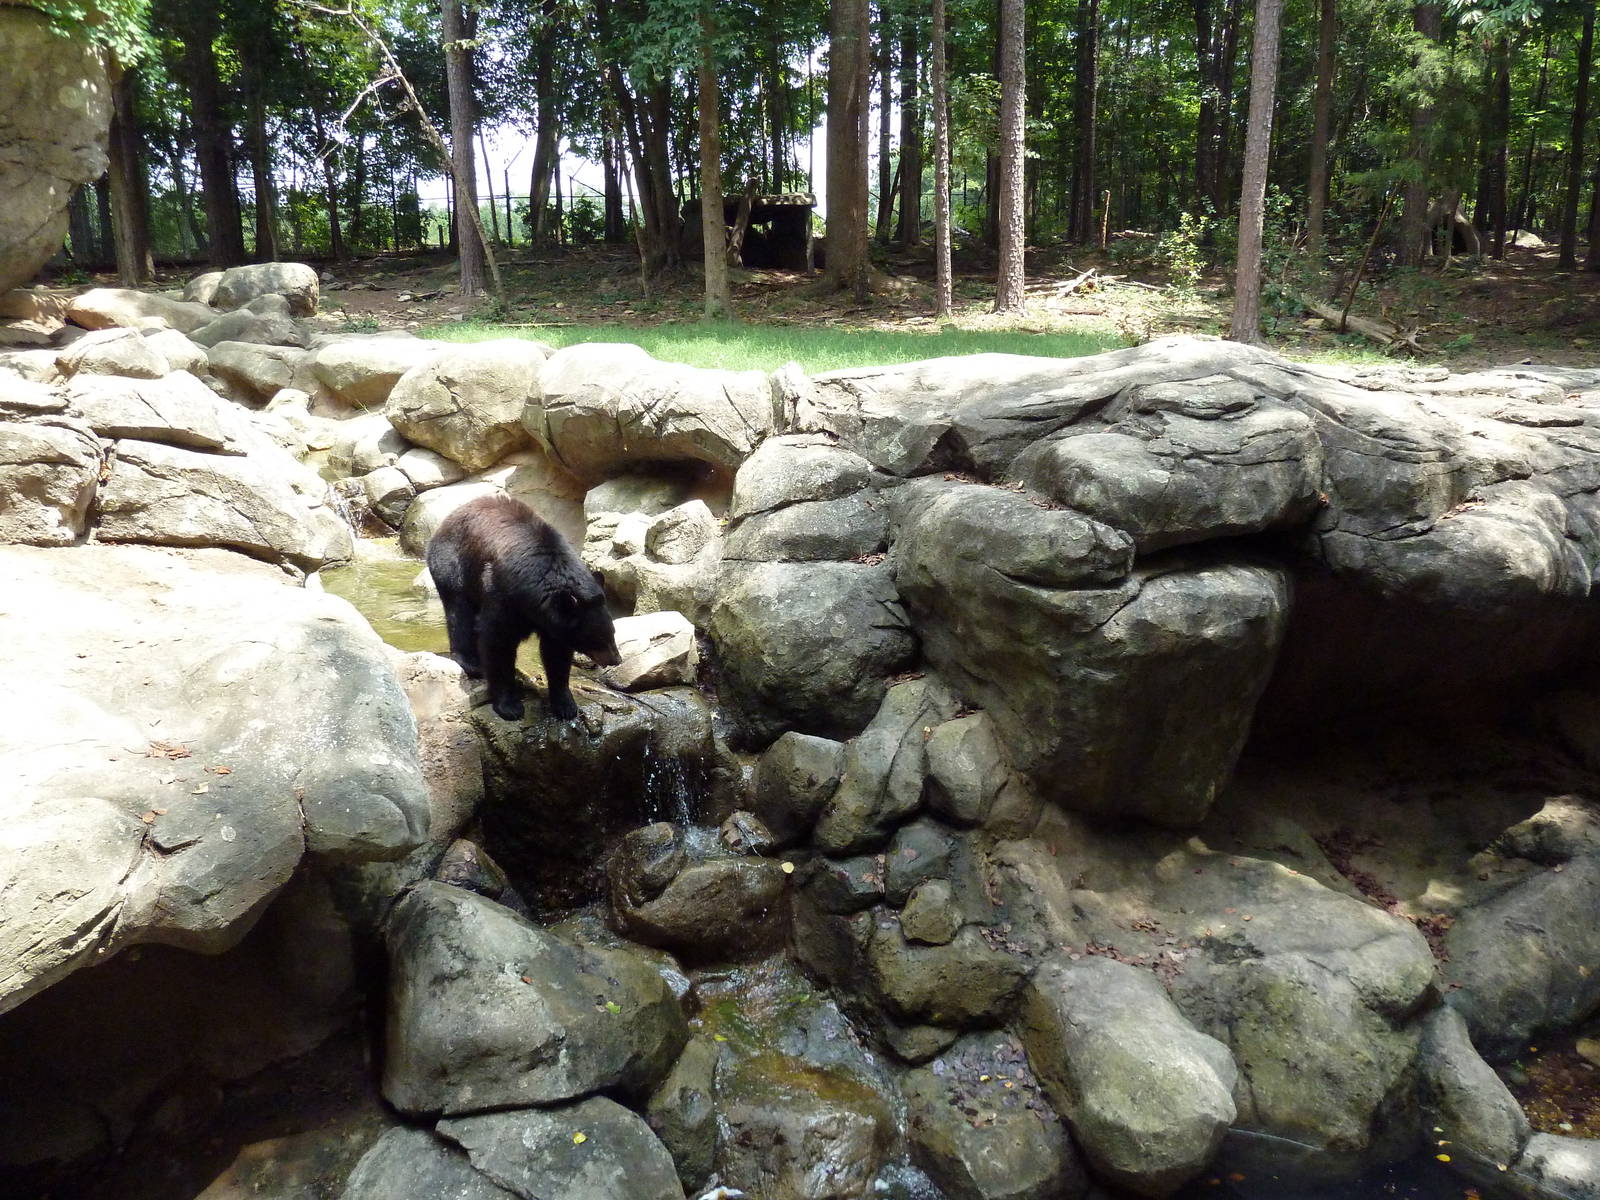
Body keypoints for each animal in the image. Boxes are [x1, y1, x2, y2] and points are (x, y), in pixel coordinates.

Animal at [426, 494, 620, 721]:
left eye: (612, 632)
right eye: (597, 637)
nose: (616, 659)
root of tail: (448, 518)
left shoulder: (553, 619)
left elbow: (557, 653)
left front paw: (565, 705)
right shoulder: (501, 593)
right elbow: (498, 642)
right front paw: (509, 706)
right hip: (453, 565)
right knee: (459, 611)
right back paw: (470, 662)